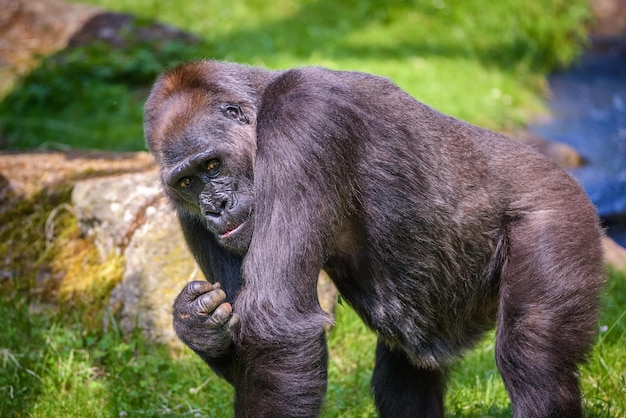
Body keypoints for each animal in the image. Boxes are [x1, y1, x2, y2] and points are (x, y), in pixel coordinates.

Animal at [143, 59, 604, 418]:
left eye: (213, 165)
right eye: (187, 182)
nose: (215, 207)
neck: (262, 102)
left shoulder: (303, 117)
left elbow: (277, 321)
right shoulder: (184, 210)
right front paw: (197, 326)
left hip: (561, 214)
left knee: (532, 356)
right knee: (402, 377)